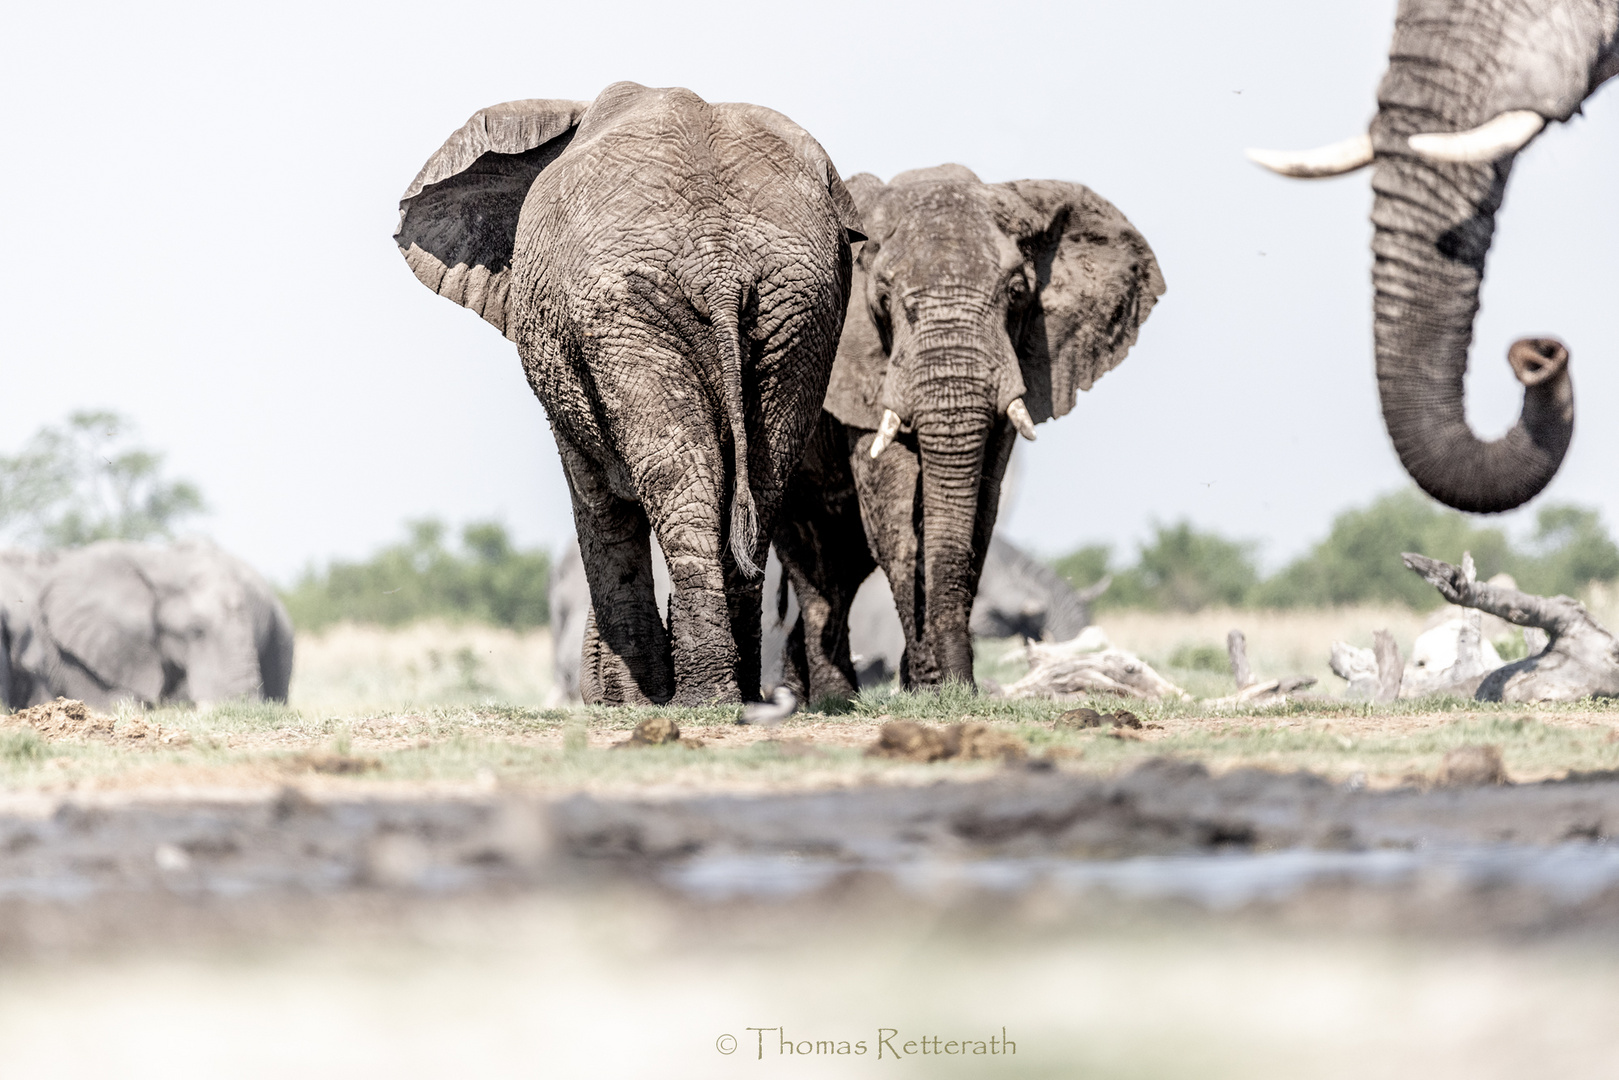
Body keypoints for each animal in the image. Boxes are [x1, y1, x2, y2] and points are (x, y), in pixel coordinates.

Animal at [395, 84, 861, 709]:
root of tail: (718, 263)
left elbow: (596, 501)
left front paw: (623, 700)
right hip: (798, 312)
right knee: (760, 484)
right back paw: (736, 696)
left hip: (631, 311)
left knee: (676, 476)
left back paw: (697, 698)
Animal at [770, 162, 1165, 702]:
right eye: (884, 300)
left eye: (1017, 294)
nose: (965, 686)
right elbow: (897, 516)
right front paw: (930, 687)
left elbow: (980, 510)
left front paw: (935, 686)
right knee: (816, 559)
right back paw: (831, 699)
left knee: (844, 561)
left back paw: (804, 697)